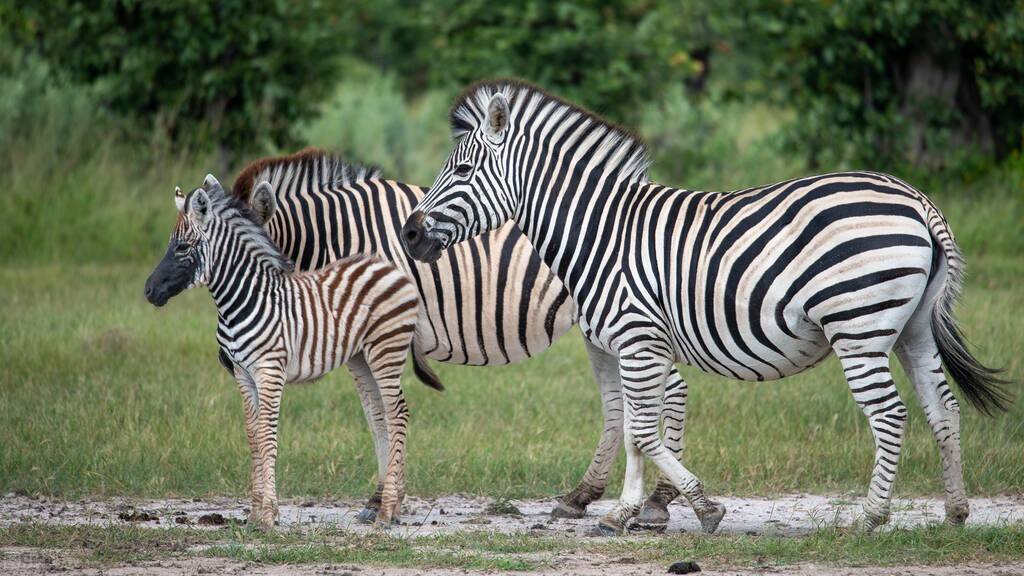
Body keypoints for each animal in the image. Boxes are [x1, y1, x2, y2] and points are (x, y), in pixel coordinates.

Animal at [144, 174, 419, 528]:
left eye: (181, 248)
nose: (148, 291)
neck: (243, 299)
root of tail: (387, 265)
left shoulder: (269, 370)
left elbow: (267, 434)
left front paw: (268, 514)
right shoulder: (242, 374)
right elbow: (253, 436)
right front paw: (255, 513)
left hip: (386, 349)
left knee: (397, 413)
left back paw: (386, 511)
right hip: (363, 356)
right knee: (385, 413)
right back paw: (391, 506)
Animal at [225, 148, 688, 524]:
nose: (227, 362)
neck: (342, 236)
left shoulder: (372, 333)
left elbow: (382, 411)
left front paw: (383, 500)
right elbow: (375, 412)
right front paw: (382, 496)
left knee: (671, 390)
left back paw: (658, 501)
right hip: (604, 328)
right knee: (619, 403)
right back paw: (582, 496)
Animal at [399, 79, 1007, 532]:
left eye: (460, 171)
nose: (408, 235)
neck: (600, 233)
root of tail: (918, 201)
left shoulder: (638, 338)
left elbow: (644, 431)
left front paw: (700, 507)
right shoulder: (634, 345)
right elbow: (634, 426)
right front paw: (625, 511)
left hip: (858, 328)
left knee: (890, 414)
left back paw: (870, 518)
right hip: (912, 329)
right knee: (943, 410)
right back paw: (955, 513)